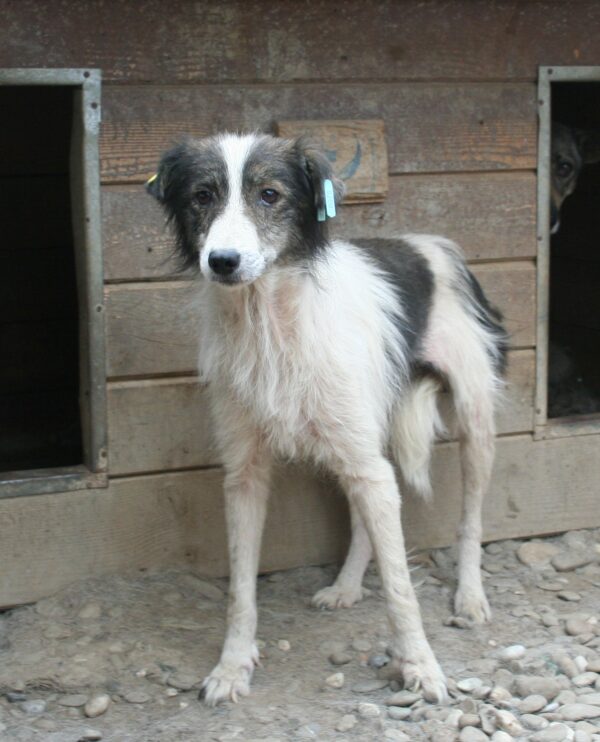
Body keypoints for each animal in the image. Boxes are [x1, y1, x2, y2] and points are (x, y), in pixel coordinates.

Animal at [146, 131, 506, 708]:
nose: (222, 261)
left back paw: (470, 595)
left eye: (269, 194)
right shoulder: (245, 474)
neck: (268, 320)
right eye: (202, 196)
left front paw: (421, 666)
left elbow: (402, 588)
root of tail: (431, 243)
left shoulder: (368, 462)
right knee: (363, 516)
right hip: (360, 436)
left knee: (470, 517)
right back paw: (347, 586)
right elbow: (240, 587)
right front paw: (232, 665)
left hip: (472, 419)